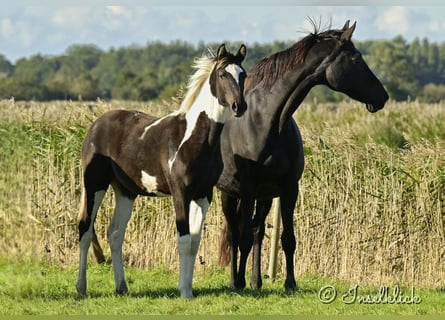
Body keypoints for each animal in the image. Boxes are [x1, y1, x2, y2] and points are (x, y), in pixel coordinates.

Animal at [217, 20, 386, 290]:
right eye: (356, 58)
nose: (382, 96)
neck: (267, 123)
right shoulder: (248, 188)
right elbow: (242, 239)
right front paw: (239, 282)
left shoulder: (288, 188)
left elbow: (287, 238)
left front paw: (290, 283)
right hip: (230, 195)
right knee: (235, 233)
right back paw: (236, 281)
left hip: (265, 197)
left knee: (257, 231)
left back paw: (256, 281)